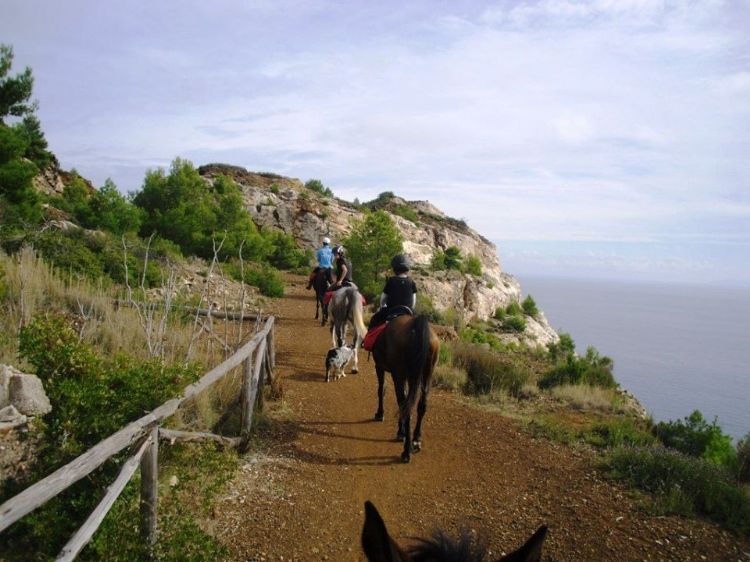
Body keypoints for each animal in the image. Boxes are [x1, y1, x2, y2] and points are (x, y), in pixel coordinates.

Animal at [372, 312, 440, 462]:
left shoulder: (380, 367)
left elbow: (381, 390)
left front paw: (380, 414)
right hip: (427, 374)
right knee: (421, 405)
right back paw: (416, 439)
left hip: (399, 373)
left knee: (405, 406)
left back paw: (406, 451)